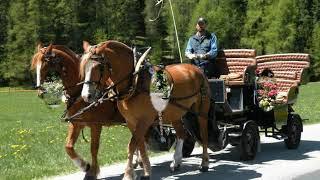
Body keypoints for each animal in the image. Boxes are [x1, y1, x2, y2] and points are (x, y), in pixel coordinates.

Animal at [30, 44, 127, 180]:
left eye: (46, 63)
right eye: (35, 66)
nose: (40, 92)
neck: (79, 93)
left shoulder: (96, 125)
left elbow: (93, 148)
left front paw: (92, 172)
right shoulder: (75, 123)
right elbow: (68, 146)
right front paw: (84, 166)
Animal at [79, 41, 212, 180]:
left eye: (99, 67)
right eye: (83, 67)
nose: (86, 95)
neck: (135, 82)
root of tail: (196, 69)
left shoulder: (145, 120)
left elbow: (132, 145)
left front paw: (128, 174)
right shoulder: (131, 121)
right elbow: (140, 144)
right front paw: (146, 171)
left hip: (202, 110)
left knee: (204, 134)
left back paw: (204, 163)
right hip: (176, 113)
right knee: (181, 134)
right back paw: (176, 162)